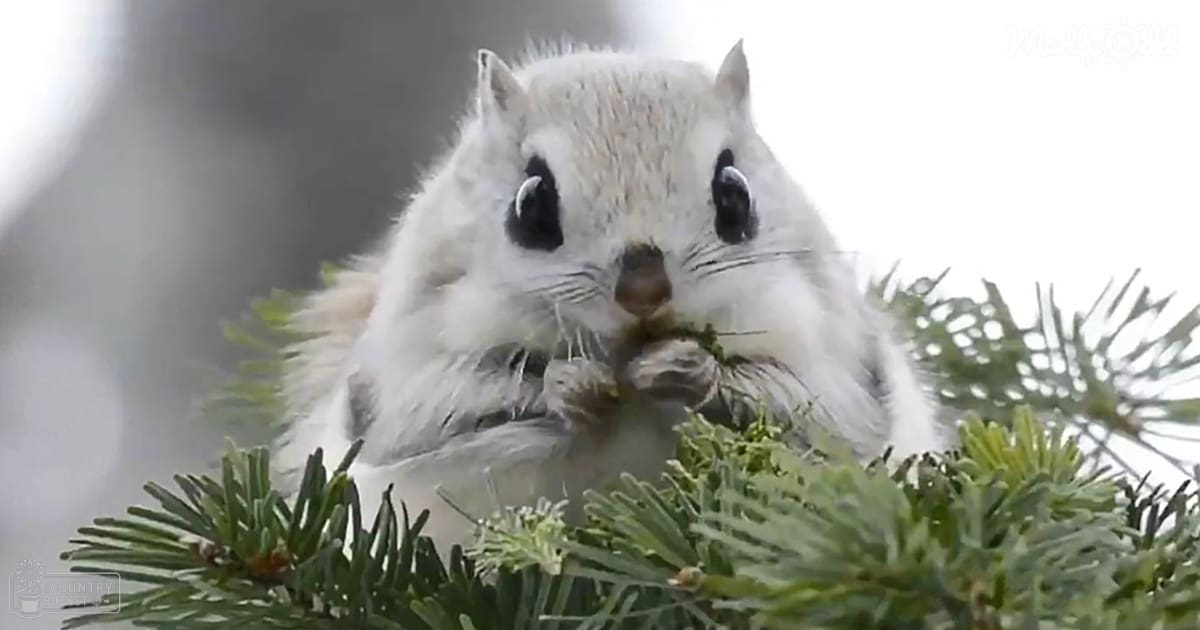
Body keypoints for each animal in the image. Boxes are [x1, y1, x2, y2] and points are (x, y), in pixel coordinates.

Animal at [273, 41, 948, 551]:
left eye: (735, 194)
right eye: (530, 204)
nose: (645, 289)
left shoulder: (833, 367)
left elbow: (807, 406)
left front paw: (688, 370)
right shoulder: (411, 379)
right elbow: (453, 407)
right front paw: (572, 386)